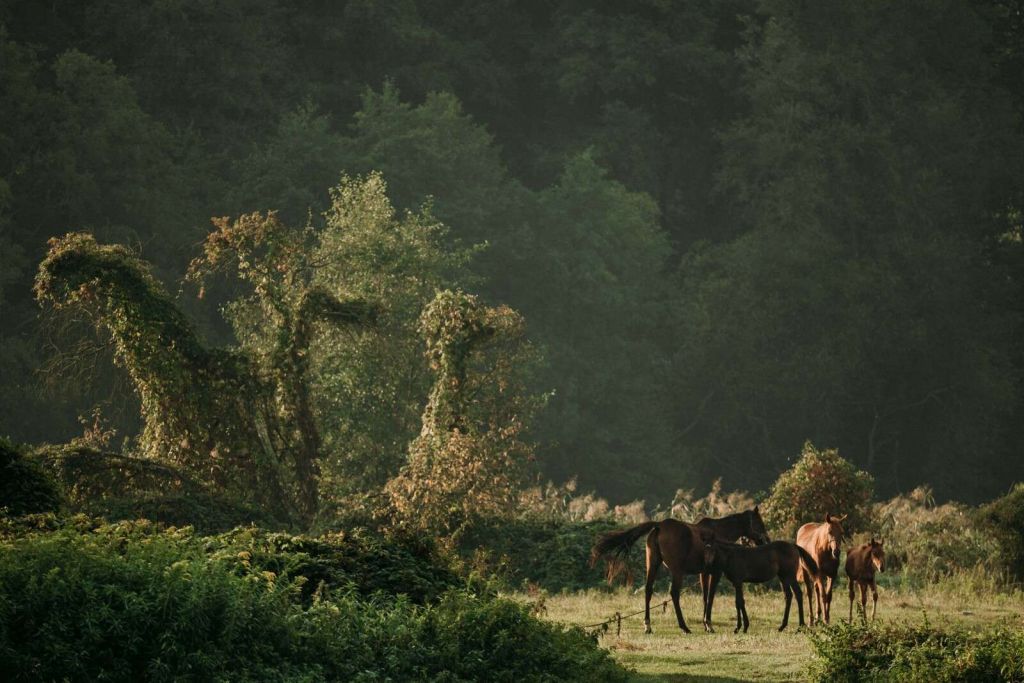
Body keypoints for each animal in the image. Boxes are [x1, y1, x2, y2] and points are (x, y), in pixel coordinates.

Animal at [692, 505, 770, 634]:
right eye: (759, 522)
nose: (767, 540)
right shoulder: (715, 573)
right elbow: (710, 597)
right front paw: (709, 625)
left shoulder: (705, 573)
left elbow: (705, 597)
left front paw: (706, 625)